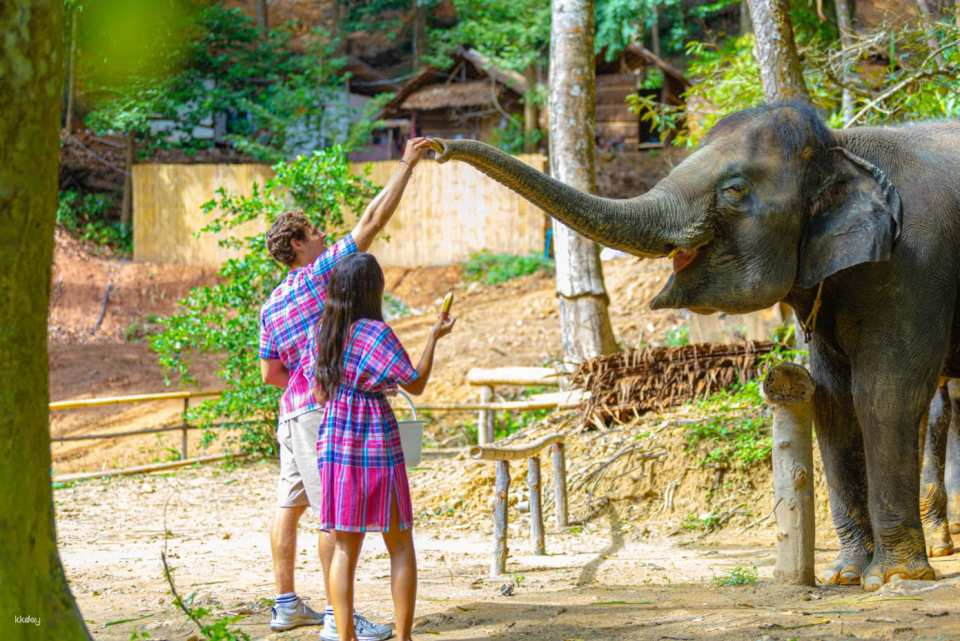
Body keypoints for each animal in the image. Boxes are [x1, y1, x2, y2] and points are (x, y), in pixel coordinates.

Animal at [427, 100, 960, 590]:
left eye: (735, 190)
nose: (433, 147)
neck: (841, 145)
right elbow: (834, 403)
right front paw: (845, 576)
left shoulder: (916, 266)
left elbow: (884, 396)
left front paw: (893, 578)